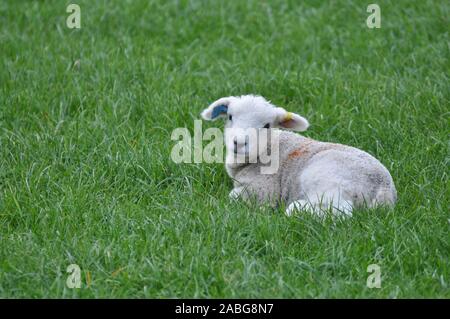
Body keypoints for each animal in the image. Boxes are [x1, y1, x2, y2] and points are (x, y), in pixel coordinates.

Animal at [201, 95, 398, 218]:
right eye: (230, 117)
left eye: (267, 125)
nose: (239, 142)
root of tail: (384, 191)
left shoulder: (263, 189)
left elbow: (234, 197)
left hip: (326, 178)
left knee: (341, 210)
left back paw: (296, 209)